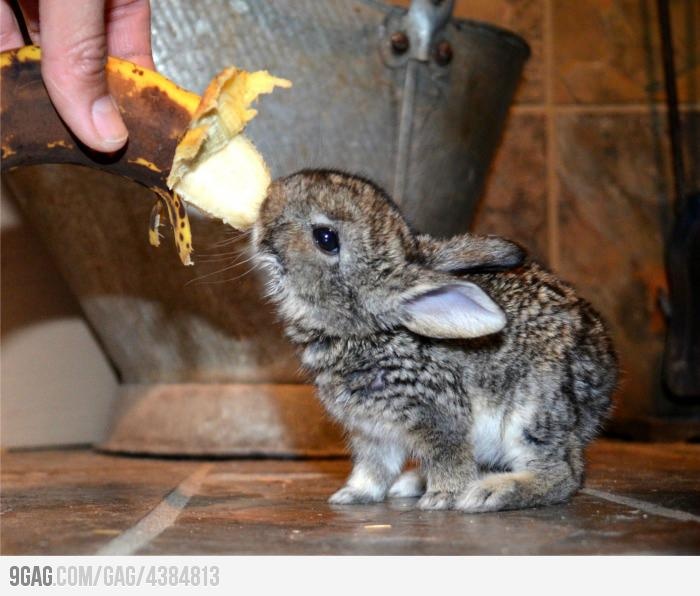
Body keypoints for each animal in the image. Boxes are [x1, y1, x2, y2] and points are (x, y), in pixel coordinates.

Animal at [253, 169, 616, 512]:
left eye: (325, 238)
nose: (267, 198)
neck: (370, 332)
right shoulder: (372, 431)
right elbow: (374, 470)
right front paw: (352, 495)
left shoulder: (439, 415)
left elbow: (449, 457)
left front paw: (442, 498)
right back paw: (412, 483)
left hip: (531, 412)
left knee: (564, 474)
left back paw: (489, 493)